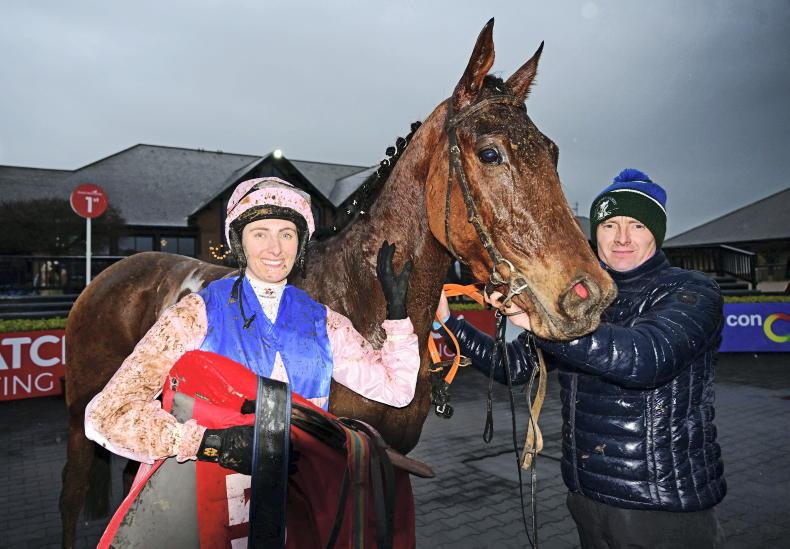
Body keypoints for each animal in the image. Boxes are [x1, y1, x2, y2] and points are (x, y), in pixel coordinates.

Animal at [60, 19, 617, 547]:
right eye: (490, 153)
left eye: (552, 151)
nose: (588, 295)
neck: (362, 303)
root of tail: (108, 276)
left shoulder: (389, 461)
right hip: (80, 415)